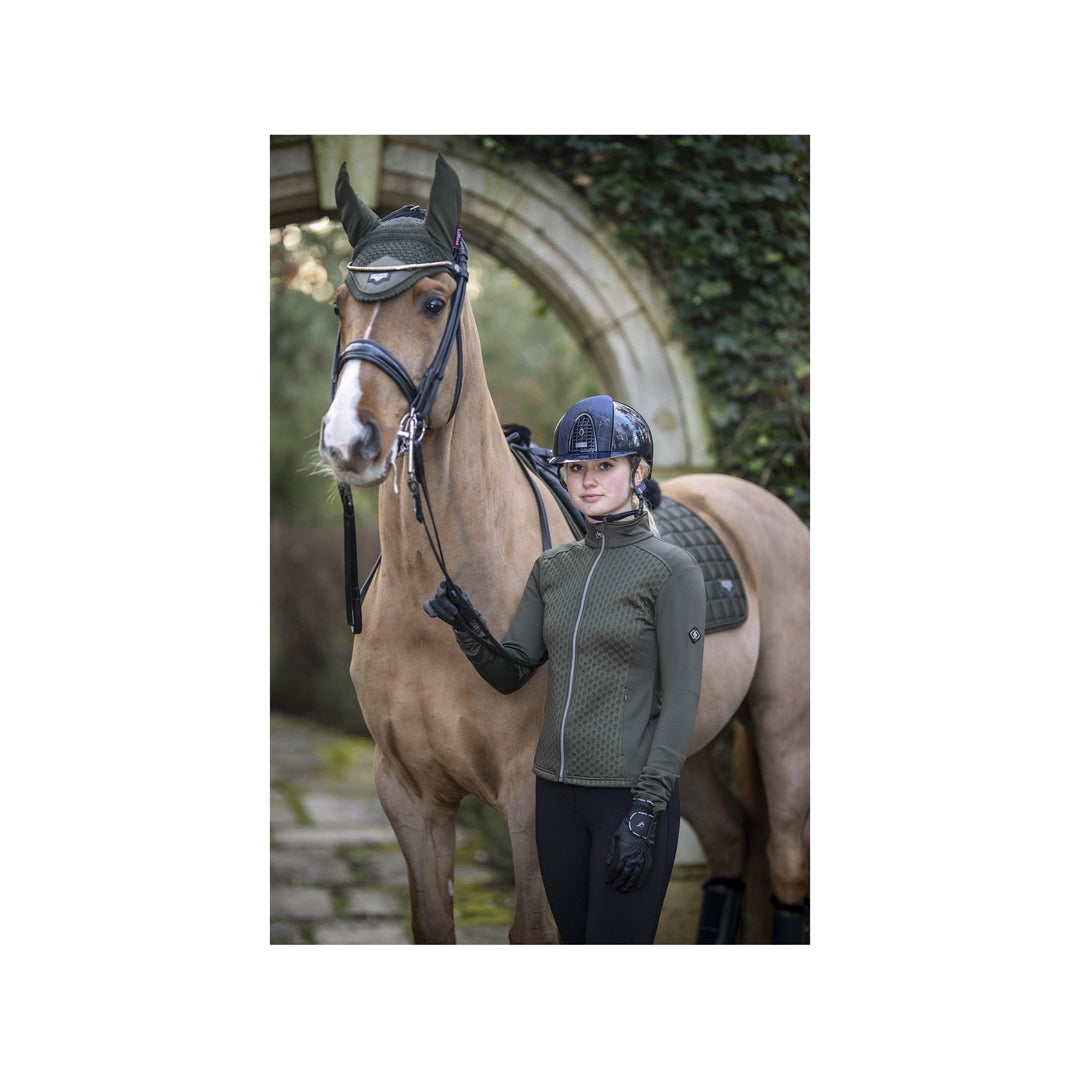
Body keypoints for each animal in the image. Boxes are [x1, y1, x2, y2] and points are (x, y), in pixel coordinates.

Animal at [316, 153, 809, 944]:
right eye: (339, 305)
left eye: (431, 301)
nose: (348, 441)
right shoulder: (411, 798)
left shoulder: (529, 797)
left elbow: (536, 930)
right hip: (686, 747)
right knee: (731, 839)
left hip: (785, 731)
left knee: (786, 861)